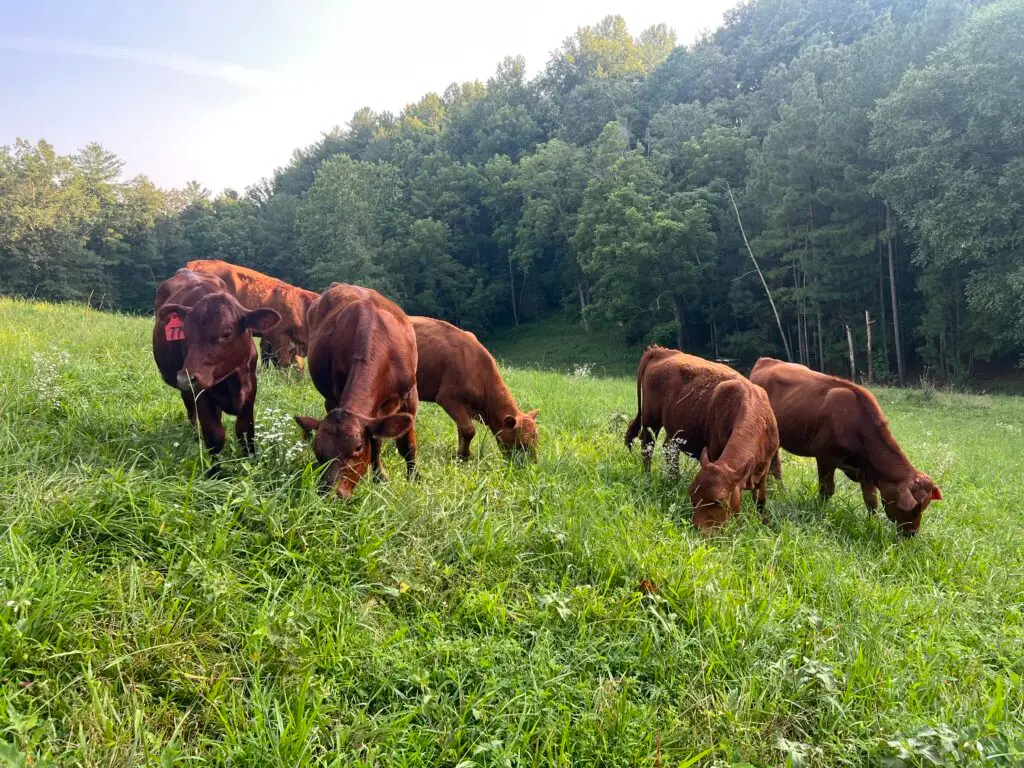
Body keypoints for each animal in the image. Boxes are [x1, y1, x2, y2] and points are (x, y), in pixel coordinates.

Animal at [153, 268, 280, 455]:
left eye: (227, 333)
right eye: (185, 333)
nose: (185, 378)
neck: (232, 380)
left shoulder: (250, 387)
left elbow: (245, 431)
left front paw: (250, 459)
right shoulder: (201, 392)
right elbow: (215, 436)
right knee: (191, 411)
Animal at [293, 283, 418, 498]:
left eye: (357, 448)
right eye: (318, 450)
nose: (330, 493)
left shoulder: (410, 396)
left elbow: (406, 445)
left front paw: (412, 478)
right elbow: (376, 441)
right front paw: (379, 475)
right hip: (329, 397)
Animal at [411, 316, 539, 459]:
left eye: (537, 441)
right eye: (523, 444)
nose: (533, 464)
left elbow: (461, 429)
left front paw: (460, 456)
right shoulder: (447, 397)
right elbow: (468, 430)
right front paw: (464, 455)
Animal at [625, 346, 780, 533]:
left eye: (718, 501)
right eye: (692, 495)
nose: (699, 530)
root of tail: (661, 351)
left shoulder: (766, 463)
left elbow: (761, 499)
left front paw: (764, 522)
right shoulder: (714, 451)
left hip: (674, 428)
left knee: (669, 448)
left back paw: (674, 479)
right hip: (651, 419)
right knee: (647, 444)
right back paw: (648, 477)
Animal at [750, 357, 941, 536]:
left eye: (925, 506)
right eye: (914, 509)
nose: (912, 534)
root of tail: (766, 360)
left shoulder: (866, 471)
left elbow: (871, 501)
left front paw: (872, 524)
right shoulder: (825, 457)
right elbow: (826, 490)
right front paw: (821, 512)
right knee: (776, 467)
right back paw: (782, 491)